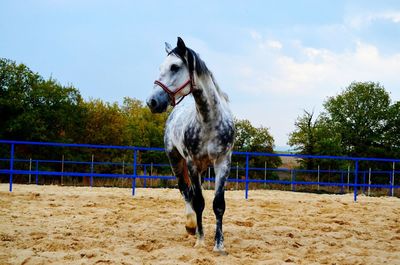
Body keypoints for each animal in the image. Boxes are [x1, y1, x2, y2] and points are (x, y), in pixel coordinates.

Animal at [146, 37, 234, 252]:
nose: (152, 102)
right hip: (176, 161)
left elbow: (218, 204)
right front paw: (200, 241)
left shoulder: (223, 162)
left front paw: (219, 245)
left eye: (175, 67)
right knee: (186, 192)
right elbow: (198, 201)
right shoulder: (192, 163)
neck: (209, 121)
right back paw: (191, 226)